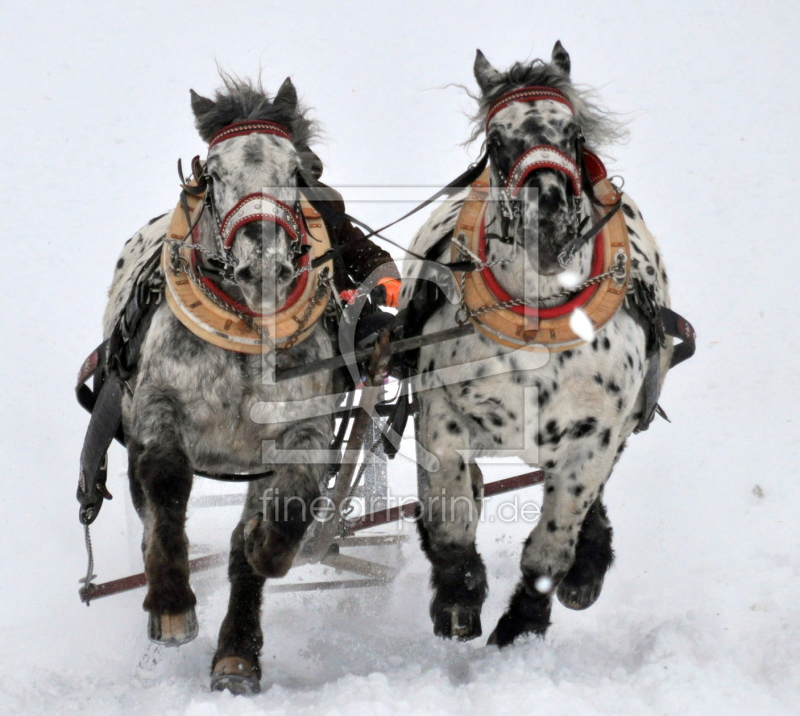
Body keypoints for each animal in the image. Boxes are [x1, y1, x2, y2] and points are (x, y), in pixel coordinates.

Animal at [400, 44, 692, 648]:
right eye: (496, 142)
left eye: (573, 132)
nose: (549, 219)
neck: (539, 321)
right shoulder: (441, 412)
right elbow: (450, 514)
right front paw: (459, 596)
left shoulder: (595, 438)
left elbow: (552, 541)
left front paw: (523, 621)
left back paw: (587, 568)